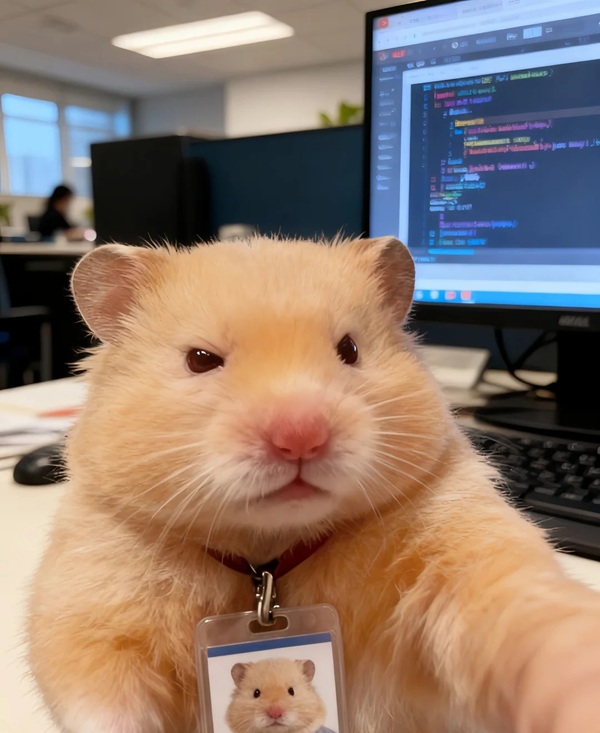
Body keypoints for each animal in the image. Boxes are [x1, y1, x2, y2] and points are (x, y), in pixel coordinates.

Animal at [27, 236, 600, 733]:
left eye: (349, 349)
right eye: (200, 359)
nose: (300, 437)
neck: (266, 560)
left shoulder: (461, 558)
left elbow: (524, 623)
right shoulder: (90, 625)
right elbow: (102, 701)